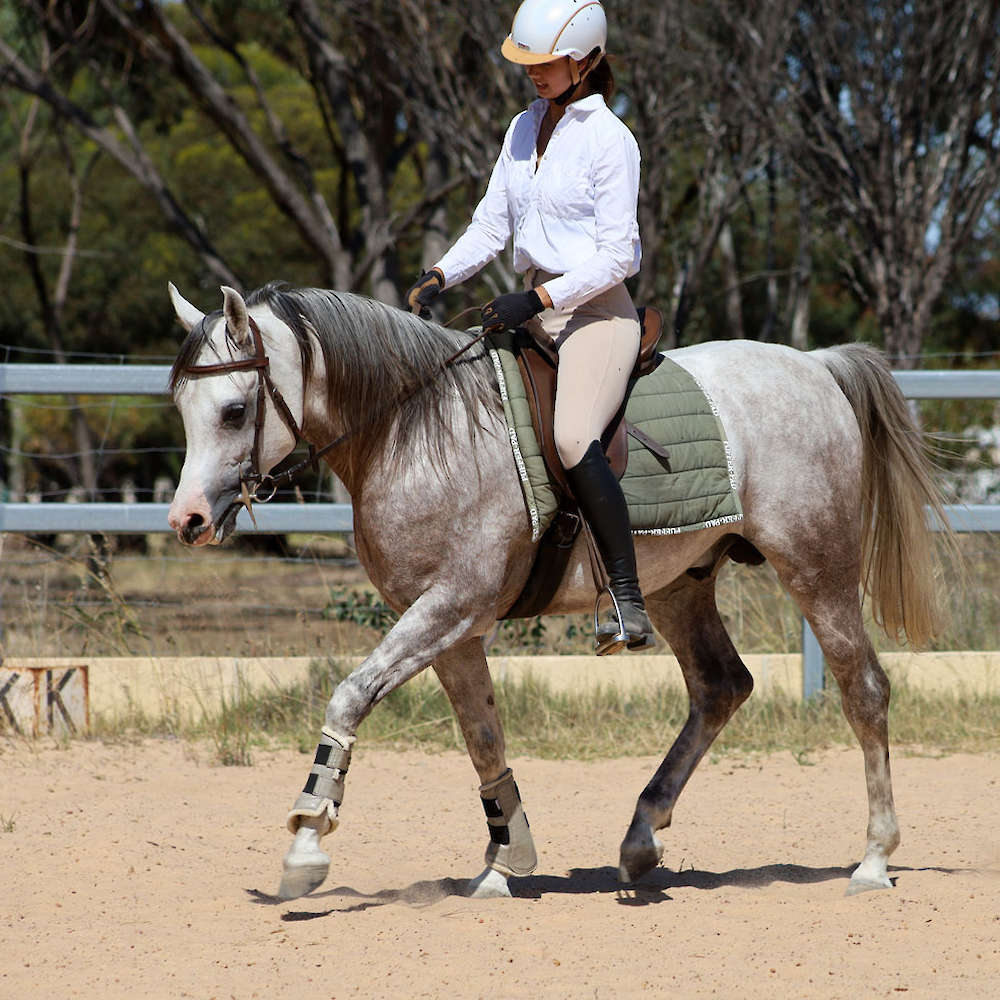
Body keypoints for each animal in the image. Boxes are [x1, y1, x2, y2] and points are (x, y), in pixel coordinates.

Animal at [166, 280, 951, 901]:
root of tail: (814, 365)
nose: (187, 521)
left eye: (234, 410)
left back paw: (874, 859)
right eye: (181, 408)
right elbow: (483, 737)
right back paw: (641, 838)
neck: (413, 431)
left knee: (863, 689)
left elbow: (350, 695)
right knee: (721, 686)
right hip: (681, 586)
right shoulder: (451, 626)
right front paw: (504, 861)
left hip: (818, 567)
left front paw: (306, 843)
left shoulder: (450, 605)